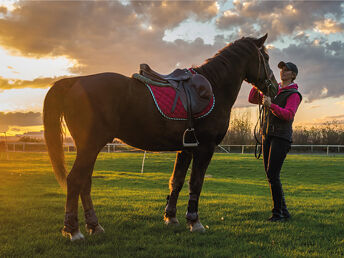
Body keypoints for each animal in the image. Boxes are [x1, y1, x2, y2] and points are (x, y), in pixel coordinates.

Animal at [43, 33, 280, 241]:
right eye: (266, 58)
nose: (275, 87)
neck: (214, 87)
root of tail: (75, 82)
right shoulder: (205, 148)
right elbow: (196, 183)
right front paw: (195, 221)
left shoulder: (185, 148)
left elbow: (177, 181)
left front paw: (171, 218)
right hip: (90, 146)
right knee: (75, 180)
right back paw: (73, 231)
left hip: (88, 148)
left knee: (85, 182)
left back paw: (94, 226)